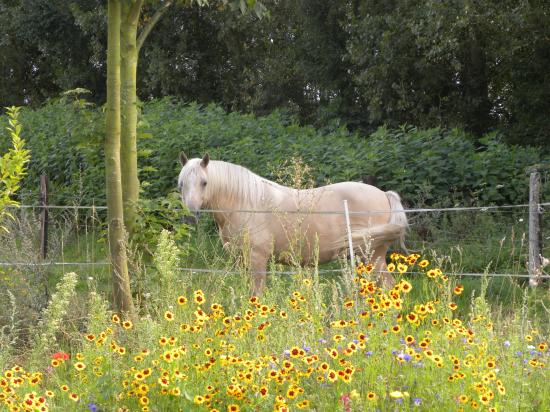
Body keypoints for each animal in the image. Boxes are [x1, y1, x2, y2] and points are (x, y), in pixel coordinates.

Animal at [179, 153, 408, 294]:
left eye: (204, 183)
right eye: (180, 184)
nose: (190, 216)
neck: (246, 204)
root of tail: (384, 194)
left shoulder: (257, 260)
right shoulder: (242, 262)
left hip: (373, 257)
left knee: (388, 287)